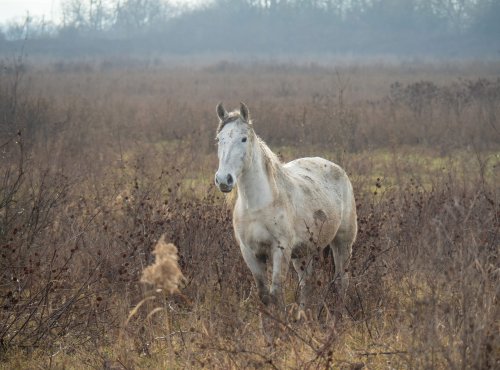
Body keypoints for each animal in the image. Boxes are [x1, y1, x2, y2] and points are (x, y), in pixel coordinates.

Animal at [213, 102, 358, 318]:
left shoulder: (280, 250)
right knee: (306, 283)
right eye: (219, 139)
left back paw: (339, 317)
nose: (224, 180)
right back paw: (302, 317)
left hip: (342, 243)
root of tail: (335, 167)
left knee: (342, 281)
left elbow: (276, 294)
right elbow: (264, 296)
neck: (258, 206)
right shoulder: (250, 253)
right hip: (303, 254)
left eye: (244, 138)